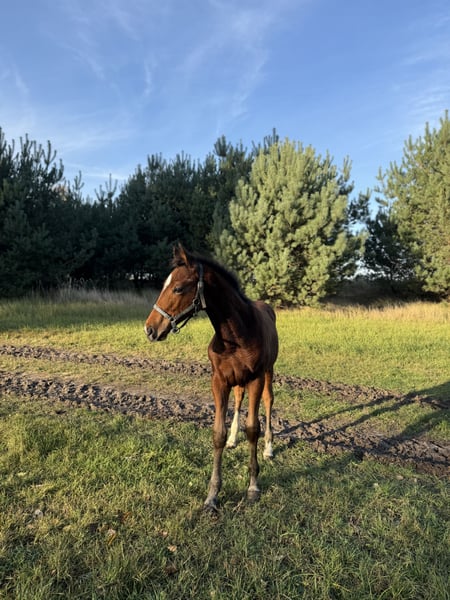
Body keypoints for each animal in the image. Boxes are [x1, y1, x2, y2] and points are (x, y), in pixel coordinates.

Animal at [144, 245, 278, 512]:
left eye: (178, 288)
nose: (150, 329)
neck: (236, 335)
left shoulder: (256, 379)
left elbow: (253, 428)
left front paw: (253, 487)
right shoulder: (219, 381)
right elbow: (218, 434)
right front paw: (212, 496)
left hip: (269, 372)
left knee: (269, 401)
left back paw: (269, 448)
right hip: (238, 381)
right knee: (238, 399)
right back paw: (234, 440)